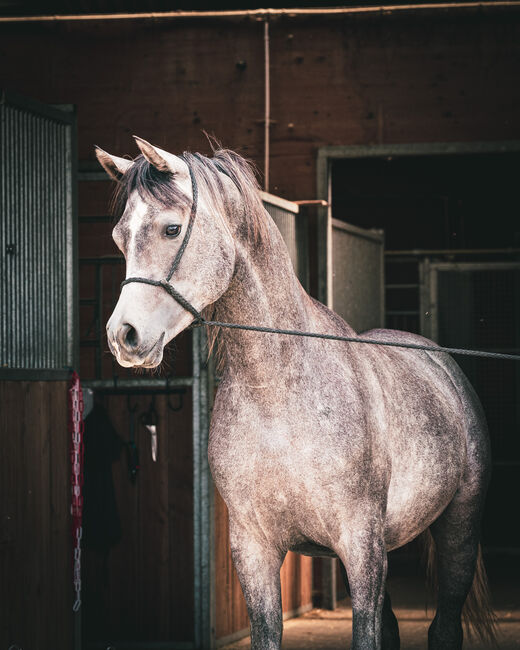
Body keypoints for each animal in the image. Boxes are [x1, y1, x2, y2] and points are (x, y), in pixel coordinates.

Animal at [95, 138, 498, 648]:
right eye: (118, 238)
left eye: (171, 228)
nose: (122, 337)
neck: (278, 397)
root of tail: (444, 365)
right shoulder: (255, 549)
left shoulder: (362, 547)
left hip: (457, 532)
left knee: (444, 625)